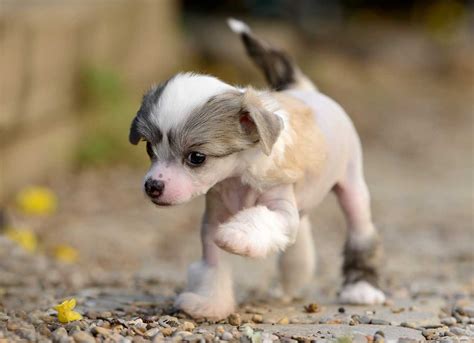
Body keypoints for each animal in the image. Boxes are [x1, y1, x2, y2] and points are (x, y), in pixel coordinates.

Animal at [129, 18, 386, 320]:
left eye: (196, 157)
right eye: (149, 148)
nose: (153, 186)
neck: (237, 176)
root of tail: (305, 89)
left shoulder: (280, 210)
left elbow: (258, 220)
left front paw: (237, 235)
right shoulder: (214, 219)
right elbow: (213, 265)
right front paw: (209, 303)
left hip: (353, 188)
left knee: (361, 233)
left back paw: (362, 288)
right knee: (298, 242)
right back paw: (291, 283)